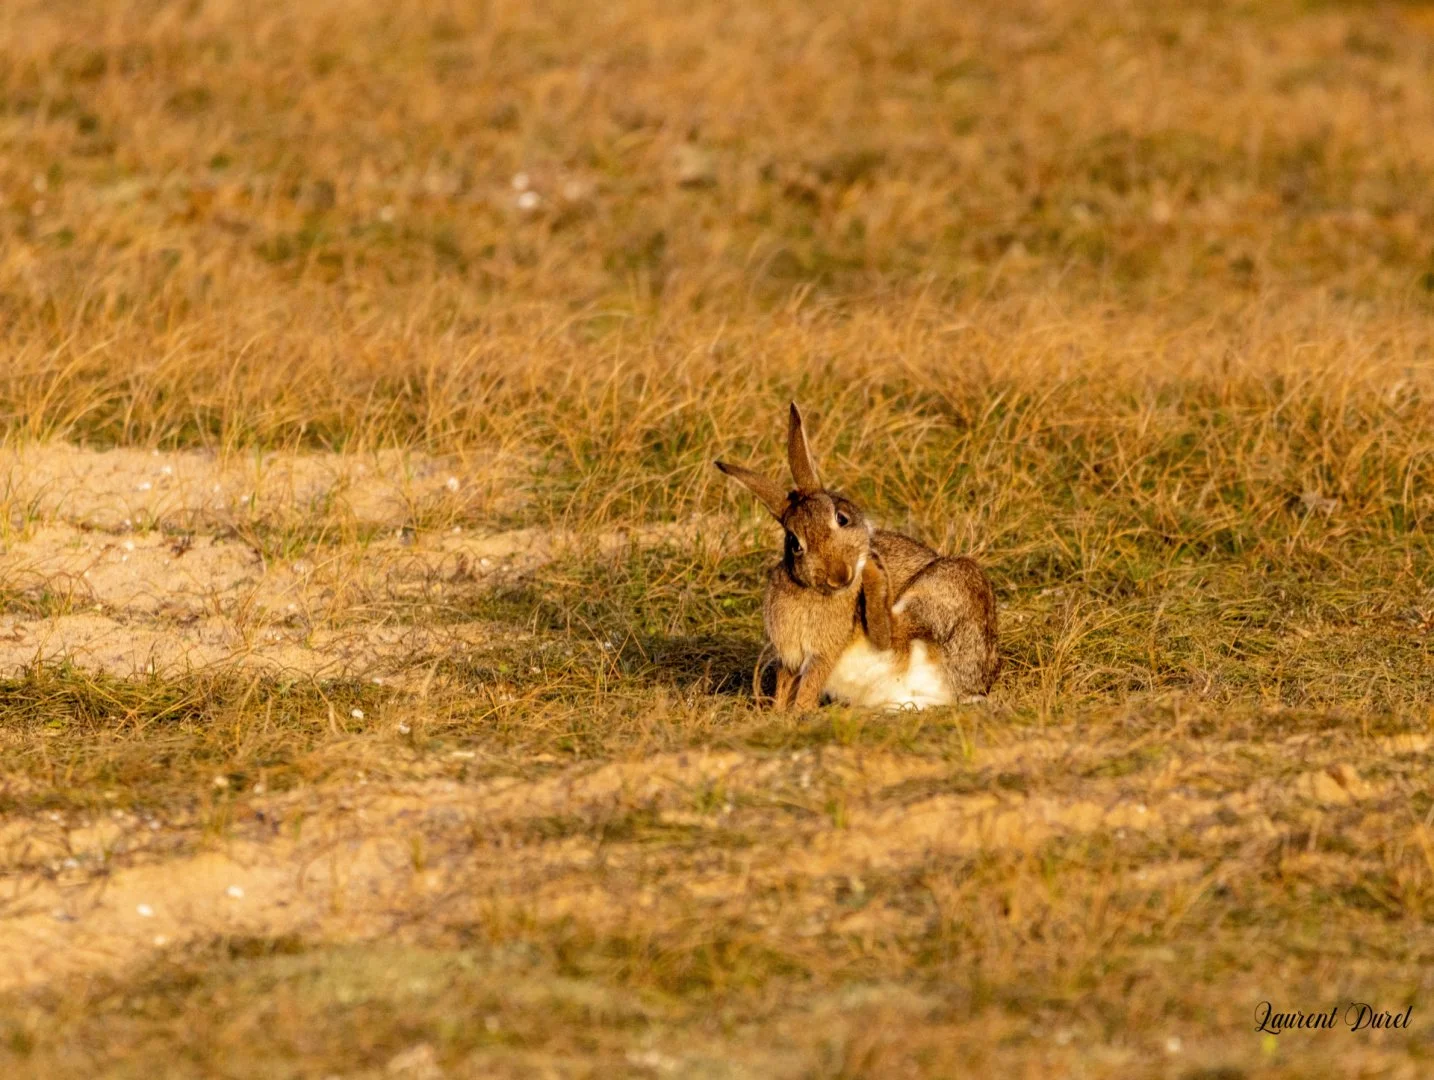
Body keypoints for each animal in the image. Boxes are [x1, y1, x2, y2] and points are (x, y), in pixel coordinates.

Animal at [715, 402, 998, 711]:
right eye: (795, 543)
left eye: (842, 518)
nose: (840, 576)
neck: (810, 590)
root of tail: (962, 689)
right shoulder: (790, 659)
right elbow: (786, 685)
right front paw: (779, 712)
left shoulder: (823, 652)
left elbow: (810, 684)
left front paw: (799, 711)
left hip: (940, 589)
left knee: (888, 634)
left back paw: (875, 571)